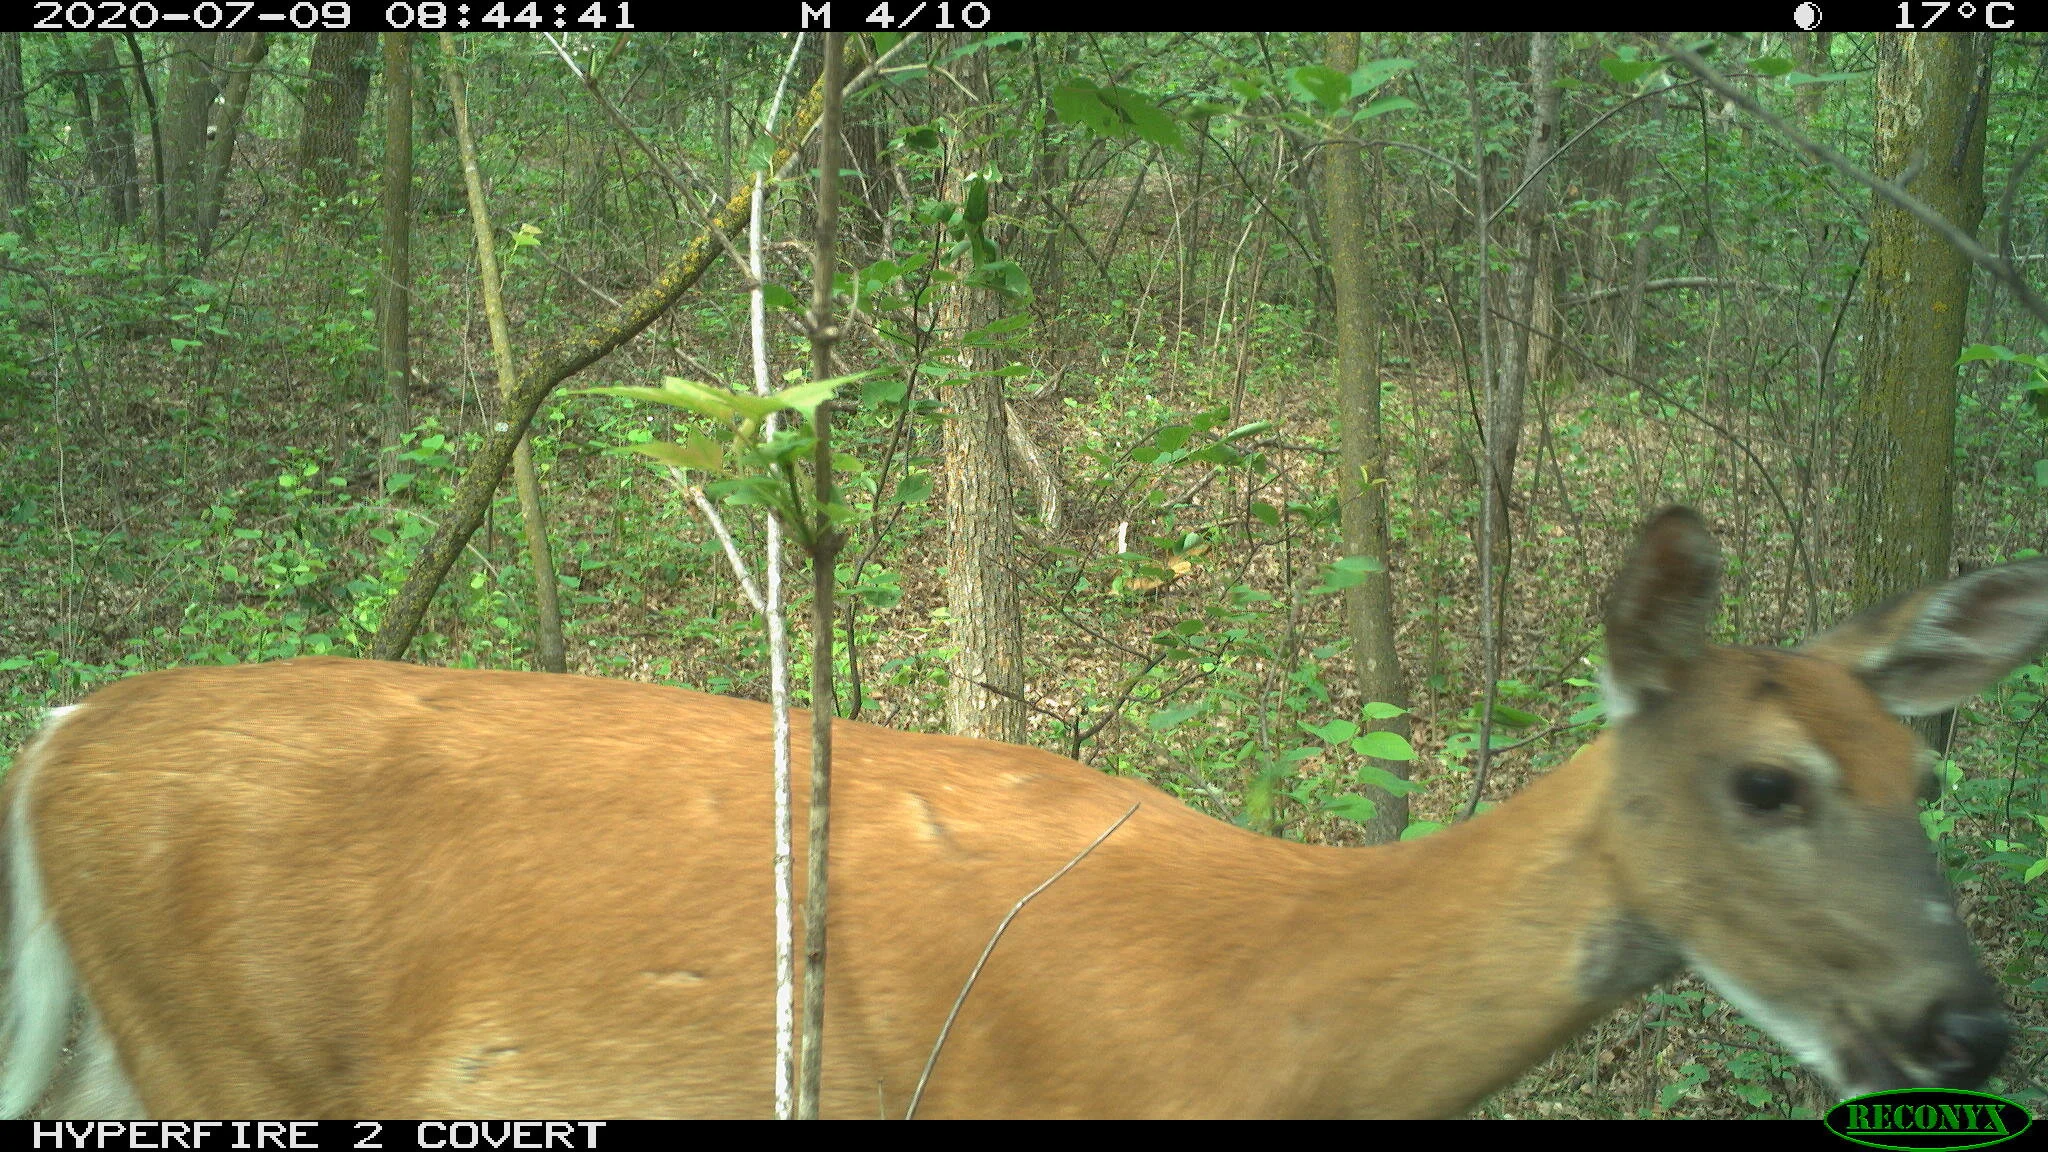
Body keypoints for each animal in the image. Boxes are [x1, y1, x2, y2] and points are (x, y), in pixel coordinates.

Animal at [1, 507, 2040, 1119]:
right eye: (1765, 782)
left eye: (1927, 776)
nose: (1971, 1026)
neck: (1256, 1035)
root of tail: (61, 731)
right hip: (223, 1051)